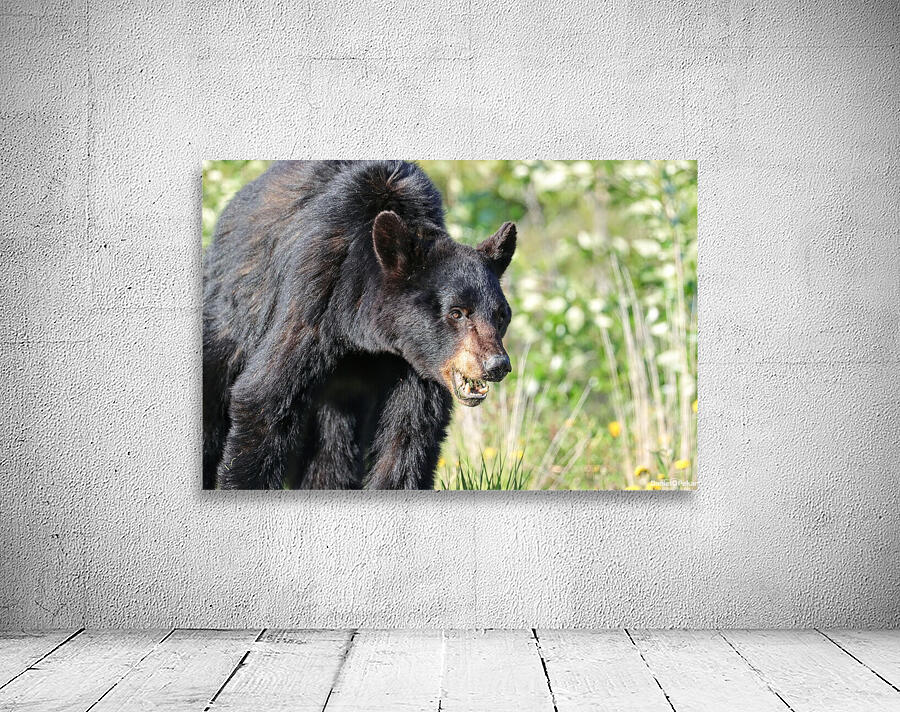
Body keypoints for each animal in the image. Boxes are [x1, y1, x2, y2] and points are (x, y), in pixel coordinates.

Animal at [202, 160, 517, 490]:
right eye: (456, 312)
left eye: (501, 315)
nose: (497, 365)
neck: (365, 335)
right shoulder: (314, 299)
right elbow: (264, 398)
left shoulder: (414, 361)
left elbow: (409, 436)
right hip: (230, 319)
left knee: (333, 449)